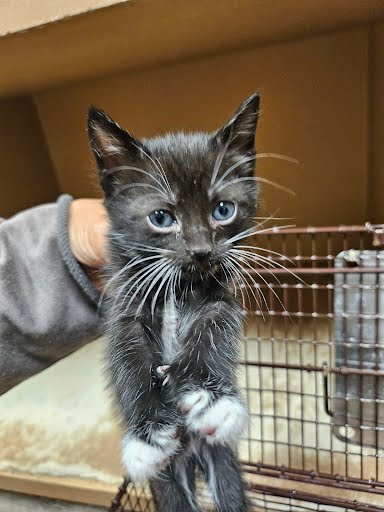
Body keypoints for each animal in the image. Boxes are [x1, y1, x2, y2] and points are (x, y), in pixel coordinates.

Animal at [88, 93, 260, 512]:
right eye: (162, 217)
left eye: (223, 210)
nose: (201, 251)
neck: (180, 290)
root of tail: (193, 455)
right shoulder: (123, 308)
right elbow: (127, 357)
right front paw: (146, 434)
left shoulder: (220, 302)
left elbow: (214, 330)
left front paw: (211, 396)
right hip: (169, 481)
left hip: (221, 459)